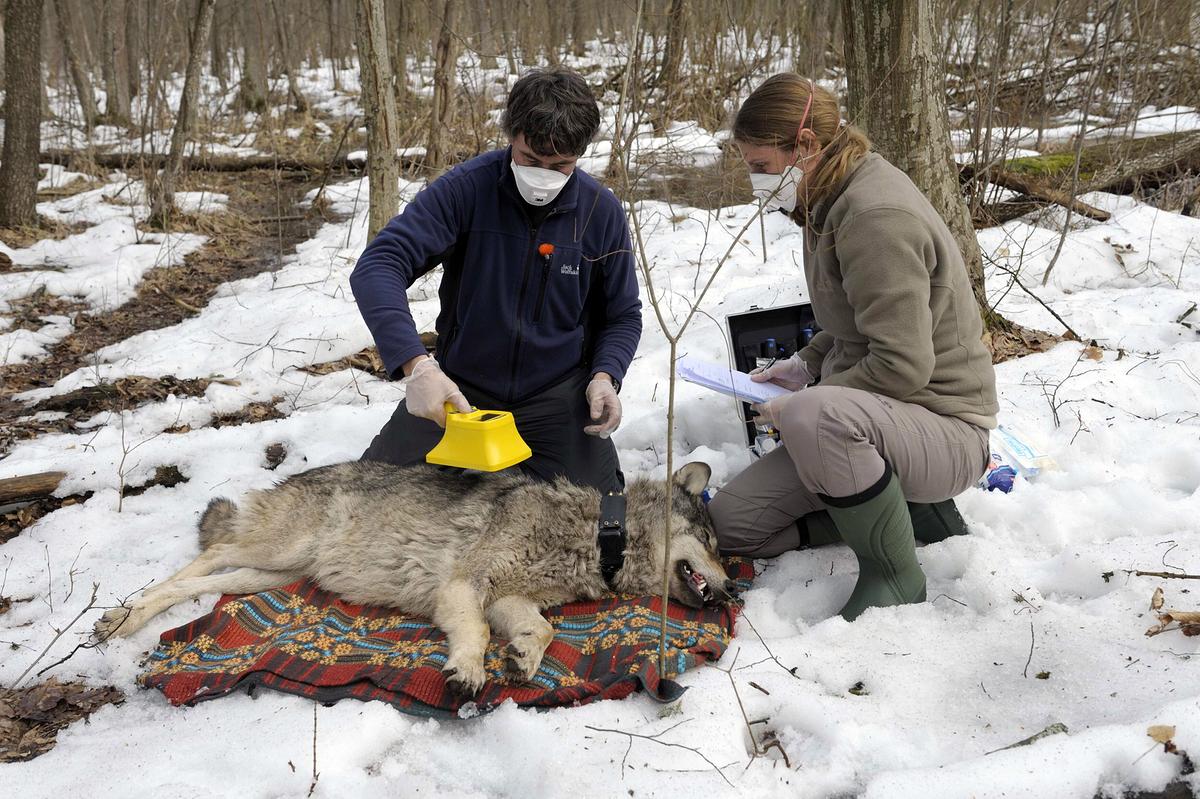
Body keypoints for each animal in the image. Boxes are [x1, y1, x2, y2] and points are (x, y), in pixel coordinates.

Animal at [94, 460, 737, 695]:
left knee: (201, 584)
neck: (598, 535)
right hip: (278, 547)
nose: (733, 590)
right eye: (711, 544)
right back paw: (119, 616)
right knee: (208, 555)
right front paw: (468, 671)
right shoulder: (464, 588)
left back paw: (128, 617)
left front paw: (522, 660)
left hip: (270, 575)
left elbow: (543, 631)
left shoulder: (508, 598)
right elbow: (476, 634)